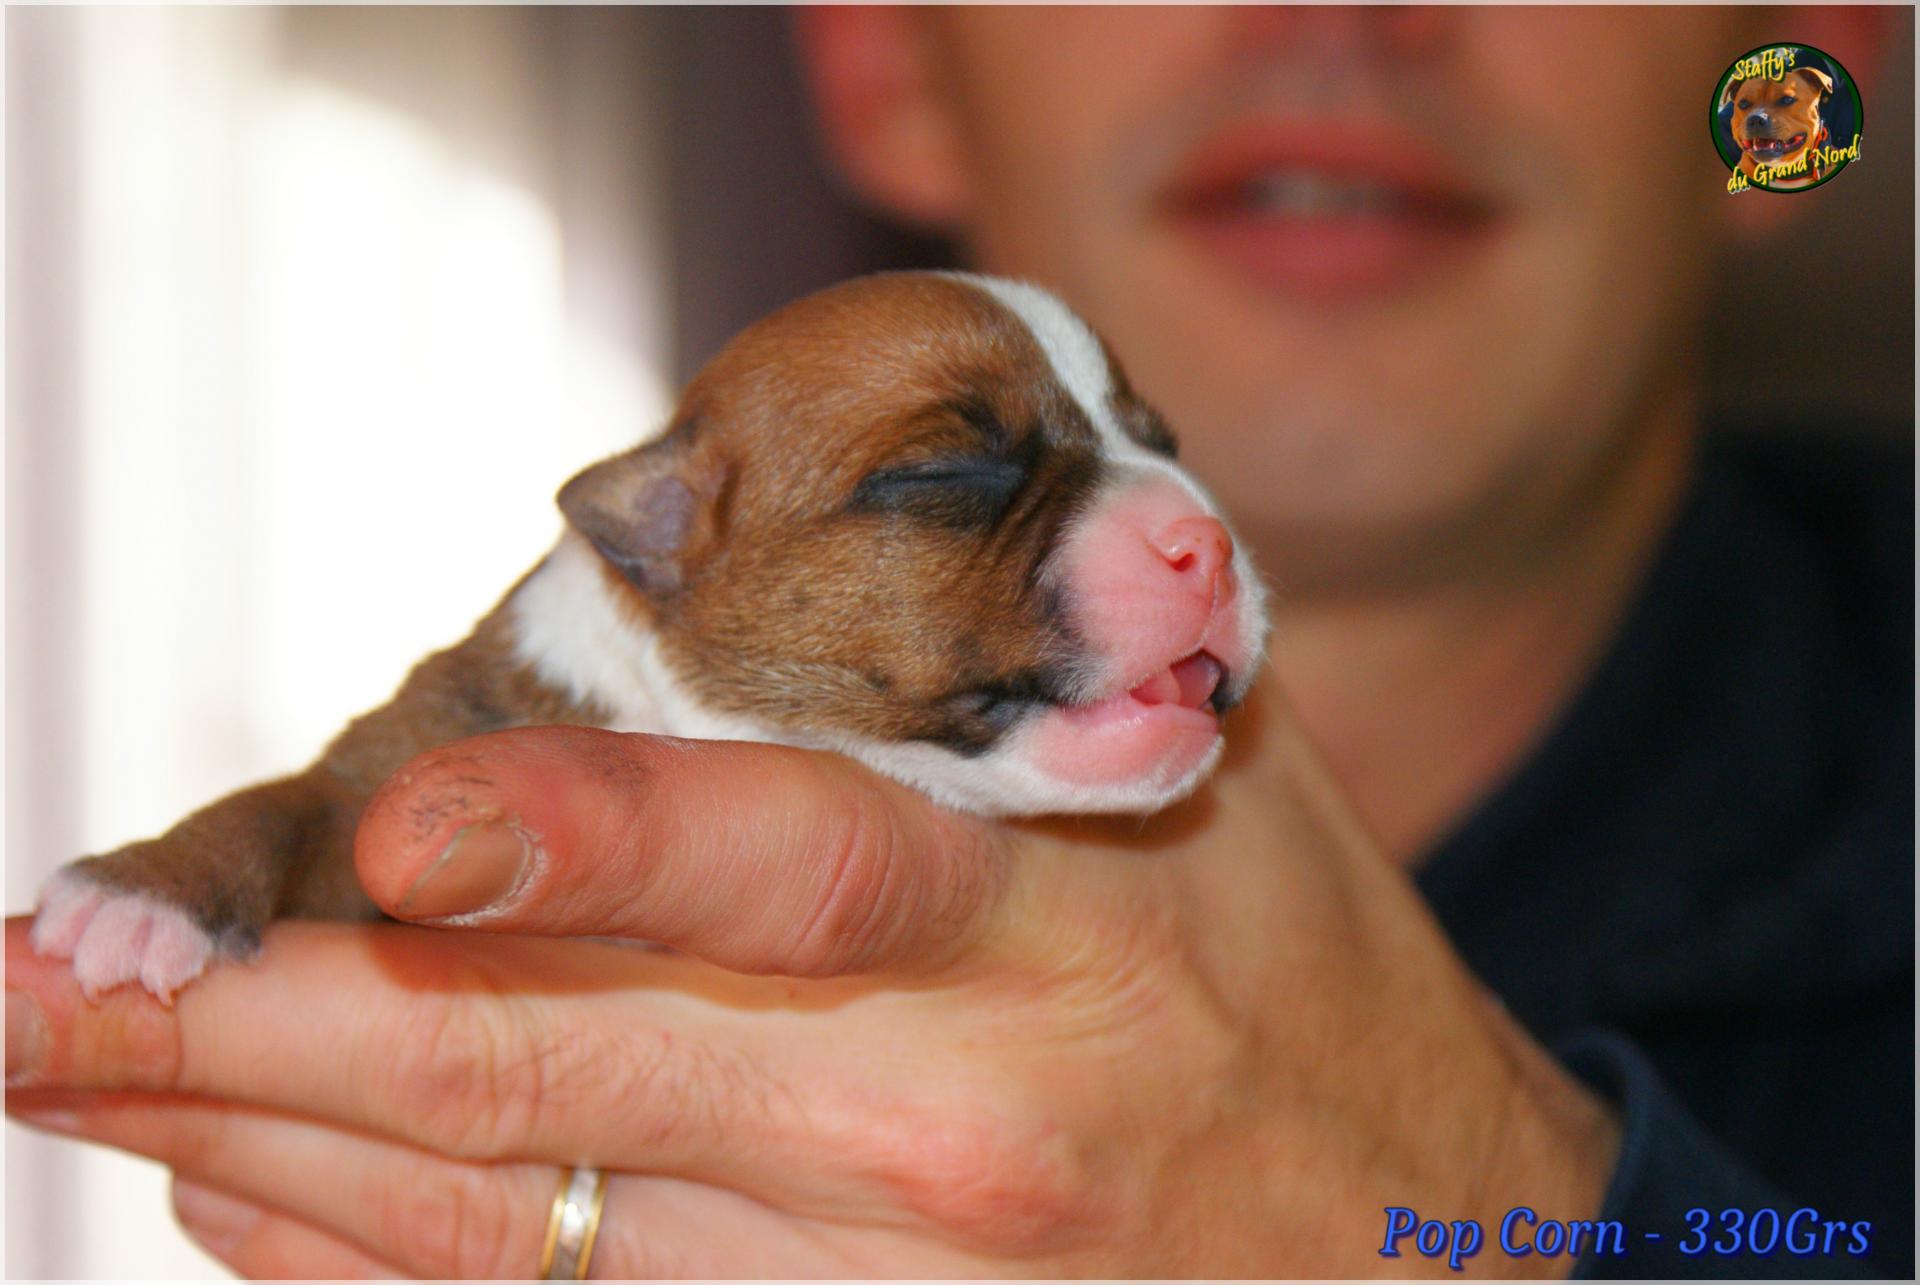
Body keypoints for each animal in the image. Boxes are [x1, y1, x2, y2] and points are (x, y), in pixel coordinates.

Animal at [30, 276, 1274, 1006]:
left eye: (1162, 442)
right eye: (943, 471)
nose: (1208, 545)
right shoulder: (408, 765)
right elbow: (293, 799)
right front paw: (146, 890)